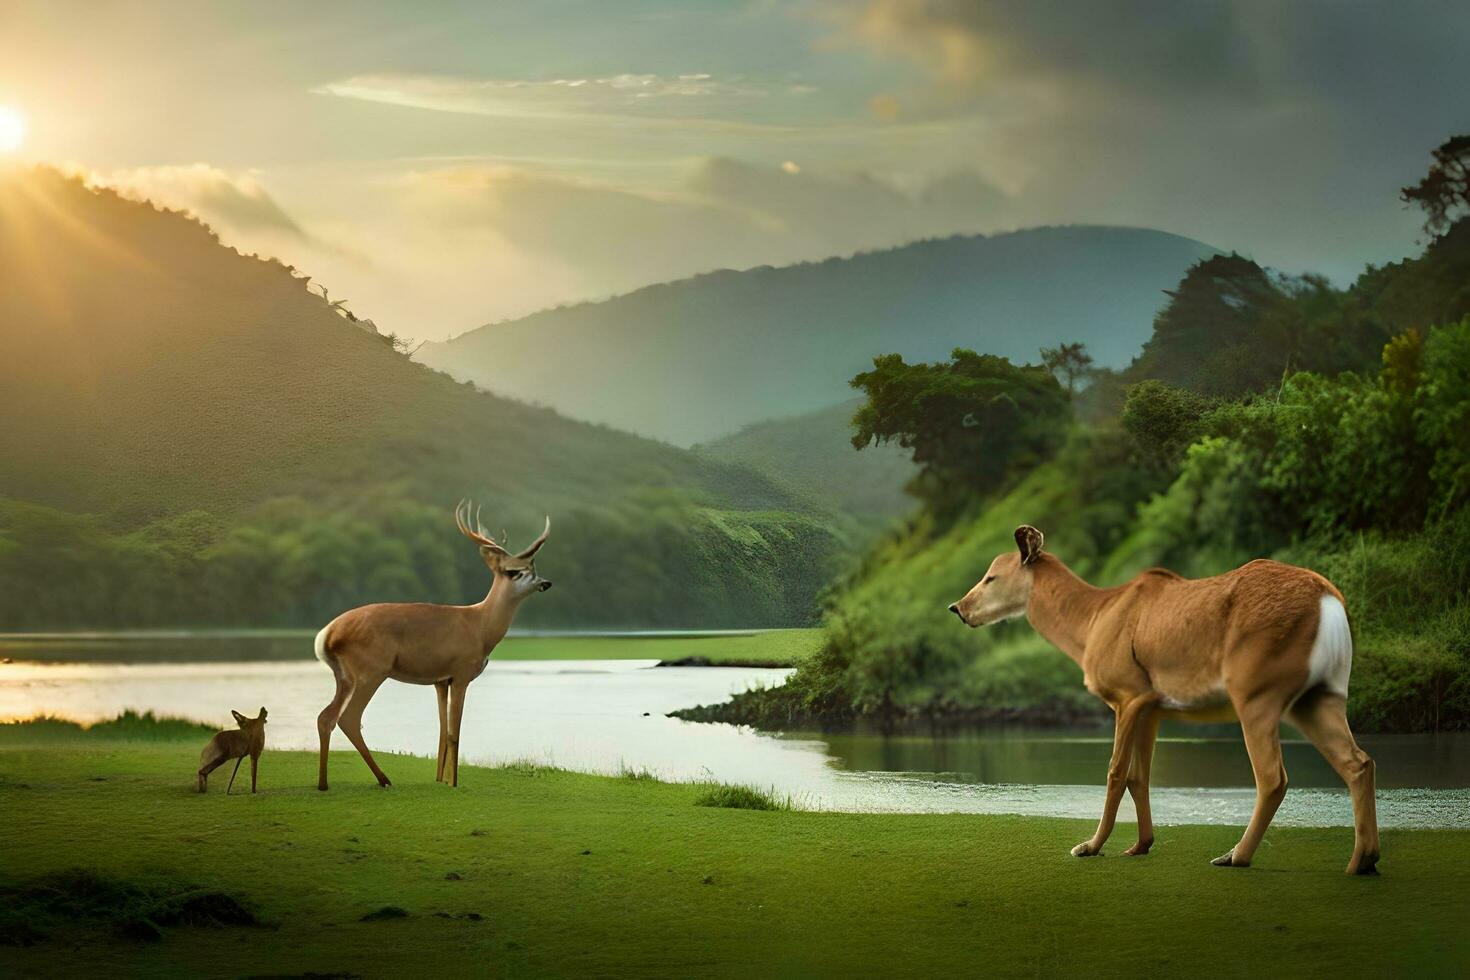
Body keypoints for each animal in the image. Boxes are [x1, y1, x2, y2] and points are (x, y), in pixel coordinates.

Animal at [314, 502, 552, 793]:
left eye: (533, 566)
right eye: (513, 571)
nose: (545, 583)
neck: (481, 626)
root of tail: (327, 634)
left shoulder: (440, 680)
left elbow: (441, 732)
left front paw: (441, 779)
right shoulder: (461, 673)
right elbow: (454, 732)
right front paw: (455, 783)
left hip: (344, 675)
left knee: (325, 716)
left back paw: (324, 783)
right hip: (371, 671)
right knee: (348, 718)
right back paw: (382, 779)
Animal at [952, 525, 1375, 875]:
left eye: (991, 576)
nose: (957, 607)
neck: (1090, 625)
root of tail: (1331, 601)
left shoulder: (1127, 692)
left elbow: (1115, 772)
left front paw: (1090, 846)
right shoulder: (1153, 706)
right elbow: (1140, 776)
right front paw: (1140, 845)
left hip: (1258, 689)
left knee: (1273, 777)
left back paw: (1235, 856)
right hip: (1321, 695)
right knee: (1358, 762)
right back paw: (1363, 860)